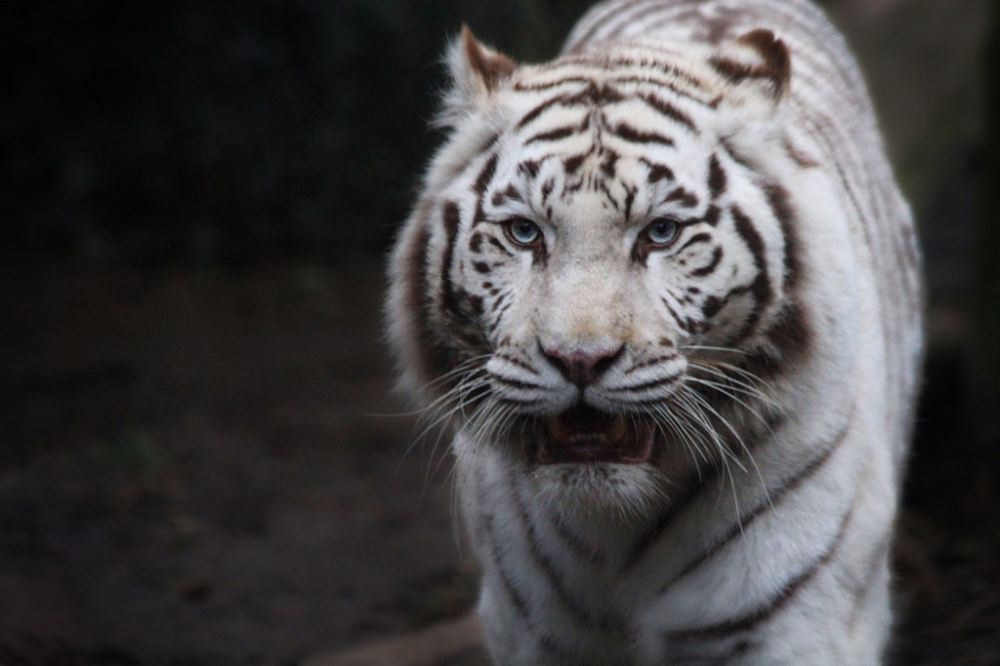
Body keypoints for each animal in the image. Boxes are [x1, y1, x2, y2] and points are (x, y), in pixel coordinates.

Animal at [382, 2, 920, 660]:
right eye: (524, 233)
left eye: (660, 233)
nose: (578, 359)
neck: (613, 528)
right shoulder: (531, 631)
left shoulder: (790, 624)